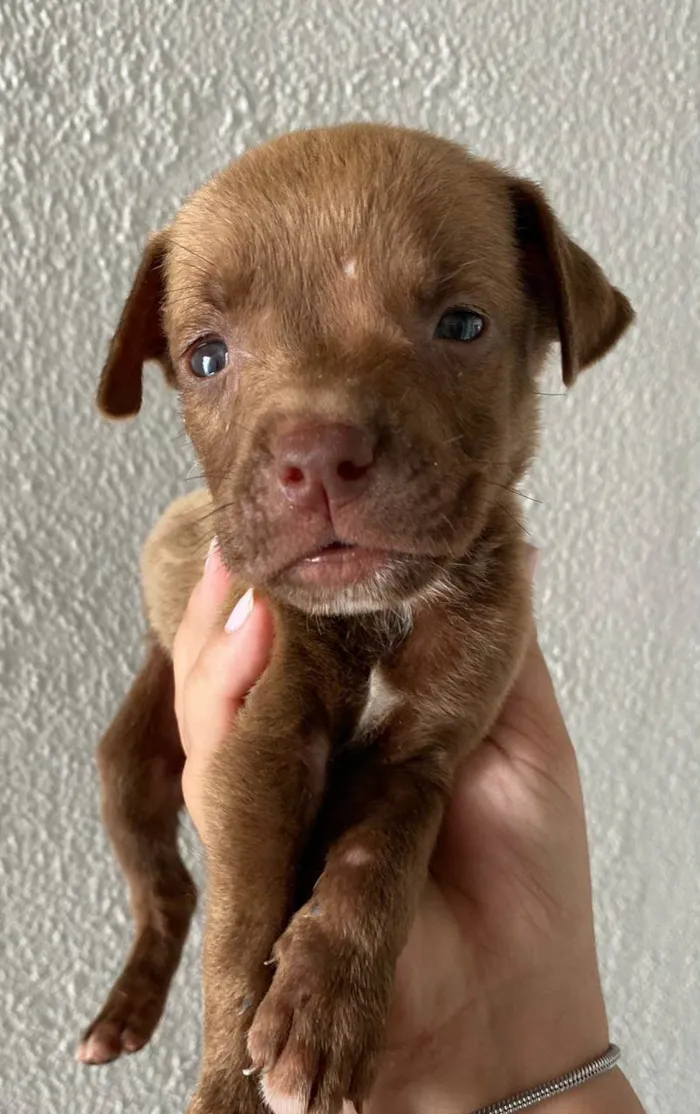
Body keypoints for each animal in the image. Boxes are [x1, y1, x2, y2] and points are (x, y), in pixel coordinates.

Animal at [78, 124, 633, 1114]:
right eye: (207, 356)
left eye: (462, 325)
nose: (318, 454)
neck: (386, 614)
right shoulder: (263, 746)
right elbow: (240, 931)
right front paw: (231, 1085)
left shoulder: (423, 756)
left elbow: (380, 865)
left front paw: (323, 1013)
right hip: (130, 768)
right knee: (166, 895)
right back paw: (123, 1015)